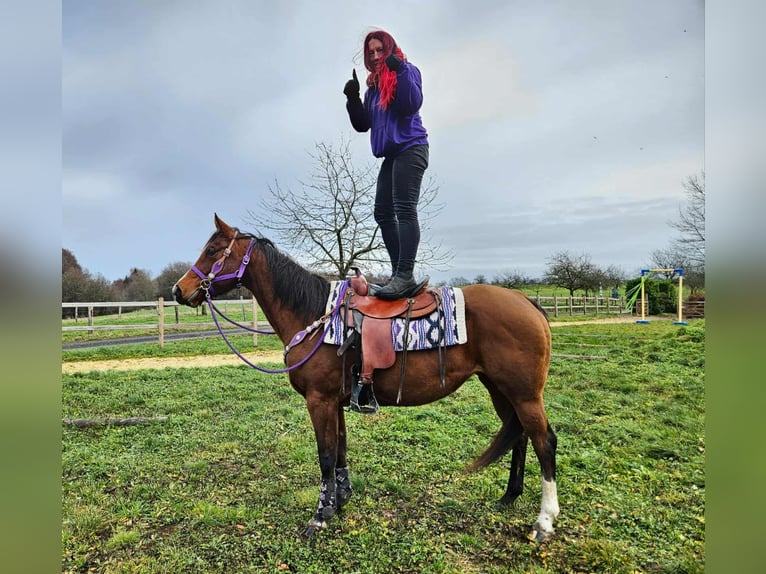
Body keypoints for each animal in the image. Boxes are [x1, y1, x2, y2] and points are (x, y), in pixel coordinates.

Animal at [172, 214, 559, 541]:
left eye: (212, 250)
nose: (178, 290)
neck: (314, 315)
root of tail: (526, 301)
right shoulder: (336, 402)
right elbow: (340, 451)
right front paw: (340, 500)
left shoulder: (320, 401)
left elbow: (326, 456)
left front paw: (319, 517)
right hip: (500, 389)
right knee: (520, 435)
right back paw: (508, 496)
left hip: (524, 394)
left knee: (544, 441)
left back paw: (543, 522)